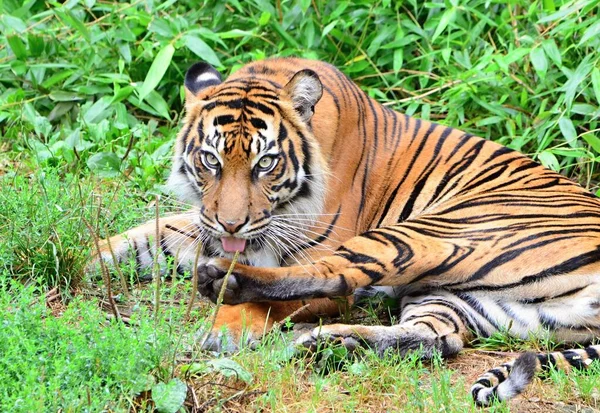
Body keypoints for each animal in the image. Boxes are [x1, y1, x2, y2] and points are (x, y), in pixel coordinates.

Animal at [96, 56, 600, 404]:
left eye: (266, 163)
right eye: (210, 160)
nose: (232, 223)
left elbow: (273, 298)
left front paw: (221, 330)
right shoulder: (208, 220)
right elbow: (146, 235)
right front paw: (92, 259)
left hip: (431, 231)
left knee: (339, 277)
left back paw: (230, 284)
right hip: (468, 301)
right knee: (437, 339)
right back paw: (332, 344)